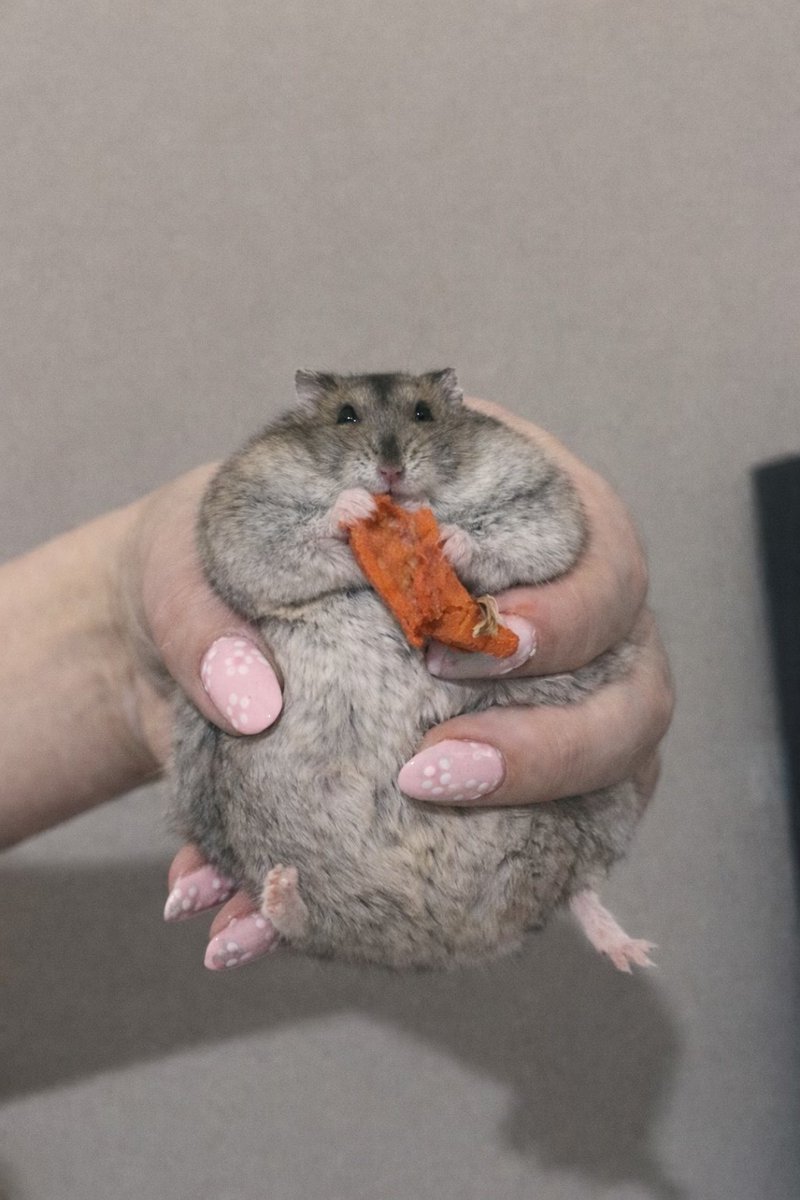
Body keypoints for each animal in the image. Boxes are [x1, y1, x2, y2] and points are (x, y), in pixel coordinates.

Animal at [170, 369, 654, 971]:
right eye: (346, 416)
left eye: (423, 413)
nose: (391, 472)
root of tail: (440, 940)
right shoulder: (244, 514)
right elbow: (296, 539)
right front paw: (353, 507)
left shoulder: (540, 501)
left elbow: (511, 539)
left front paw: (446, 536)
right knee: (308, 923)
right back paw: (277, 894)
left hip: (600, 808)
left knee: (579, 887)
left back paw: (634, 954)